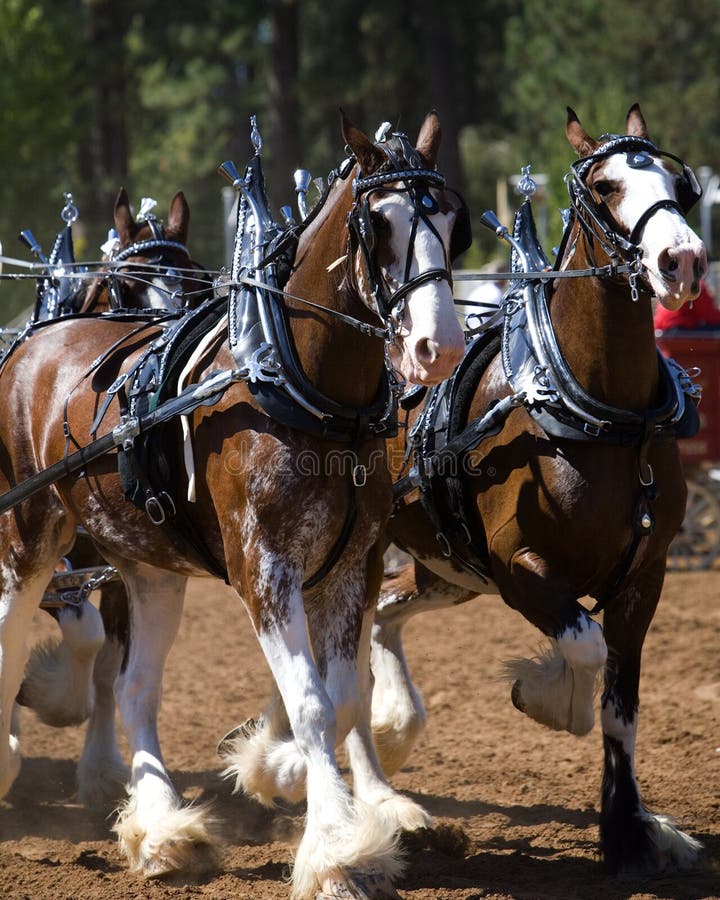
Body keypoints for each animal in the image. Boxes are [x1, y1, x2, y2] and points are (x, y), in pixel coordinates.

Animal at [0, 114, 464, 900]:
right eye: (377, 223)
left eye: (452, 223)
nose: (441, 346)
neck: (307, 388)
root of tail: (31, 343)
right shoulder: (263, 566)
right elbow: (312, 702)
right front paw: (336, 851)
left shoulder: (350, 566)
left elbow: (342, 698)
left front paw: (271, 767)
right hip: (30, 536)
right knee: (10, 646)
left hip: (149, 567)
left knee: (133, 689)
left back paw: (164, 832)